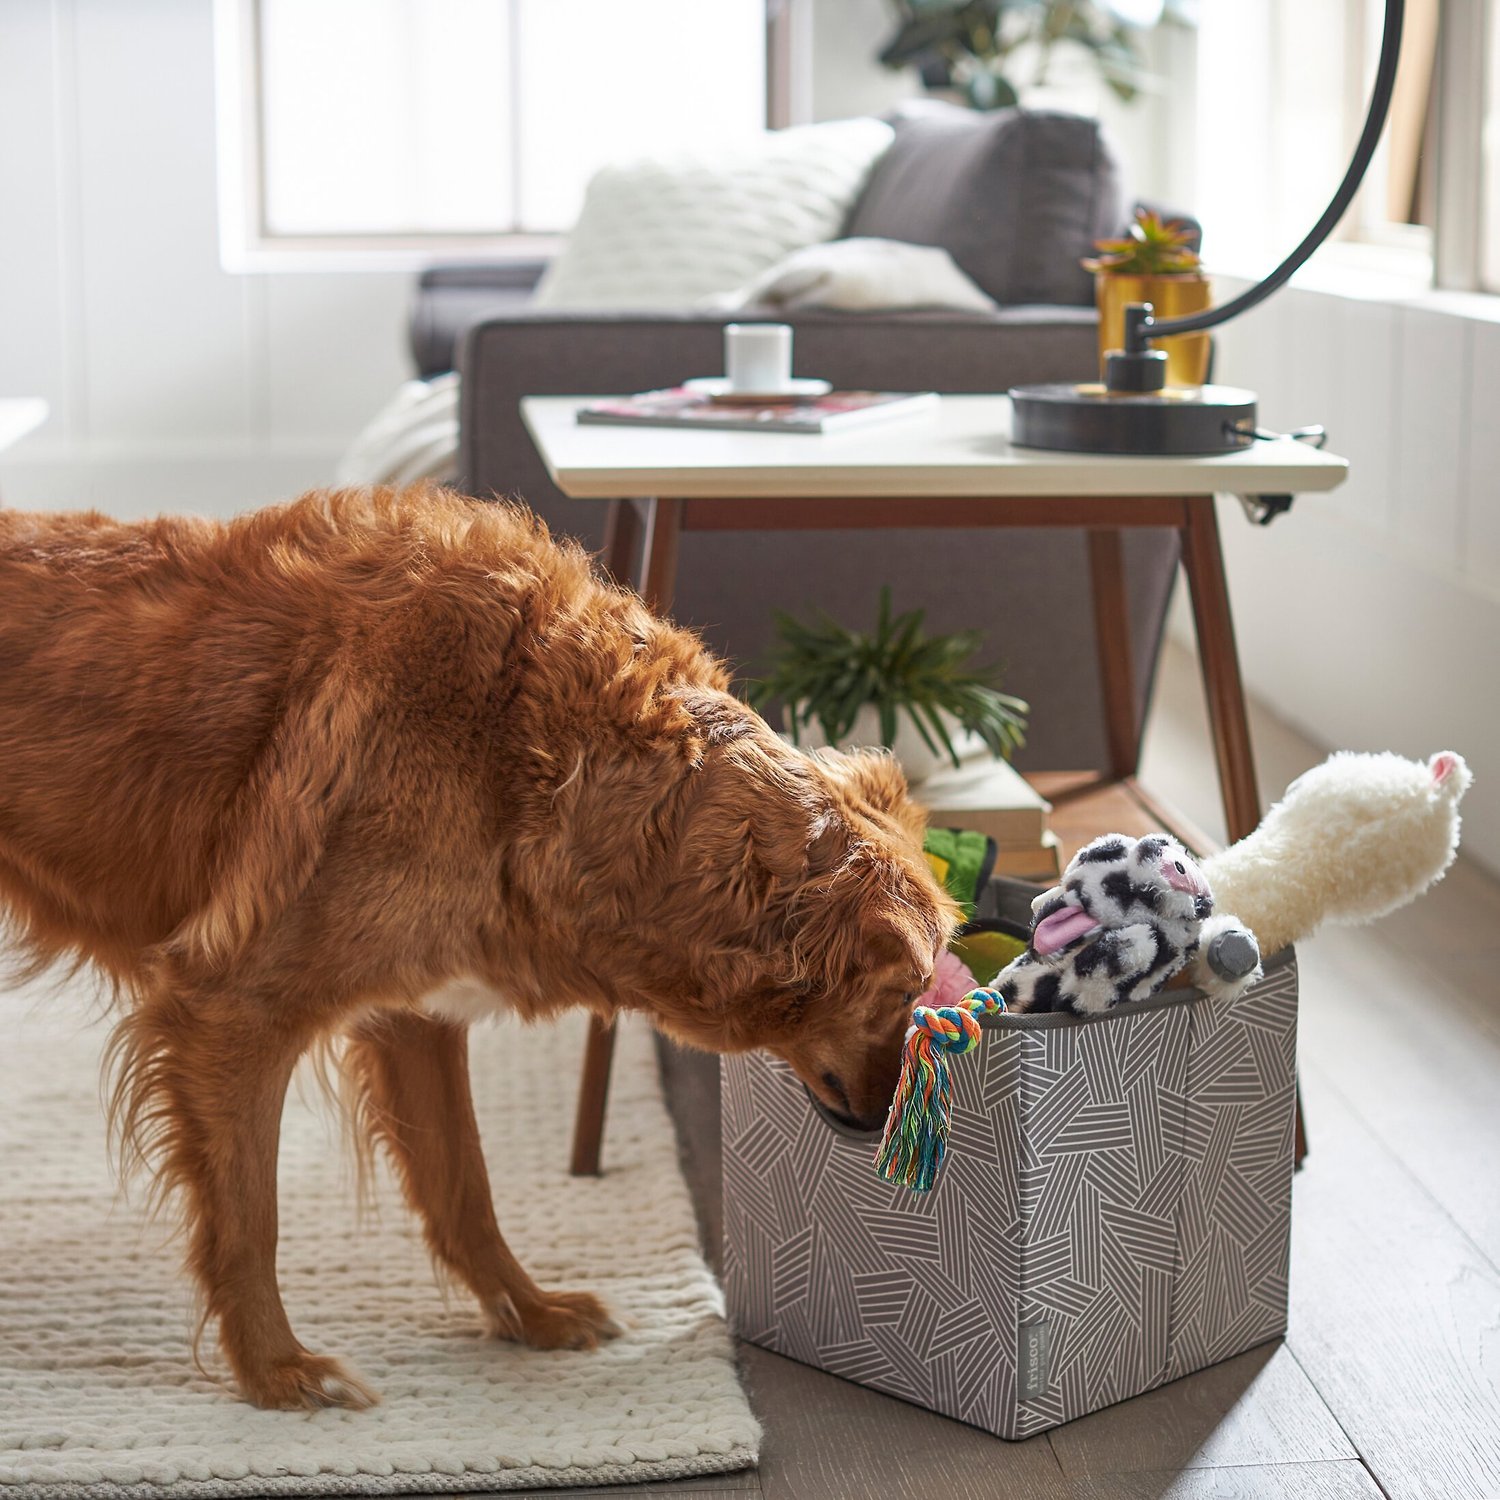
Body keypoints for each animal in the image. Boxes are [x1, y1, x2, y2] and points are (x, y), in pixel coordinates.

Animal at [0, 486, 954, 1410]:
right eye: (908, 989)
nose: (894, 1139)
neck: (531, 747)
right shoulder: (234, 1004)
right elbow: (250, 1216)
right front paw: (276, 1373)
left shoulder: (413, 1014)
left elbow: (466, 1187)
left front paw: (530, 1314)